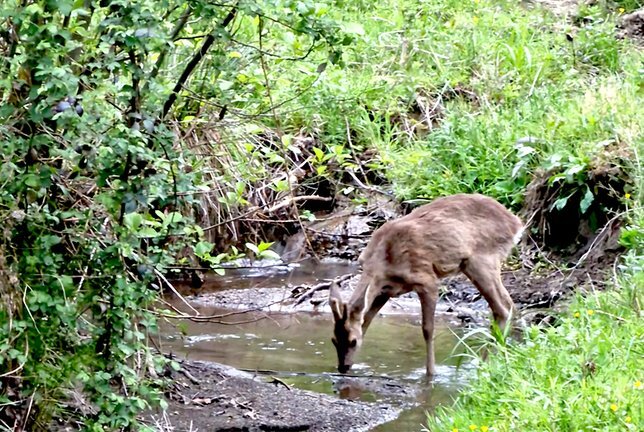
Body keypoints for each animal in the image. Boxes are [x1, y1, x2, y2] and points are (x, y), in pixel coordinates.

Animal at [328, 194, 524, 376]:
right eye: (334, 340)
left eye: (353, 341)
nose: (343, 367)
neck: (383, 262)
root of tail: (517, 224)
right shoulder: (386, 291)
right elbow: (366, 321)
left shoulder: (426, 279)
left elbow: (427, 329)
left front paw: (431, 373)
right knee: (511, 306)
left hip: (481, 260)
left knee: (503, 308)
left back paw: (483, 365)